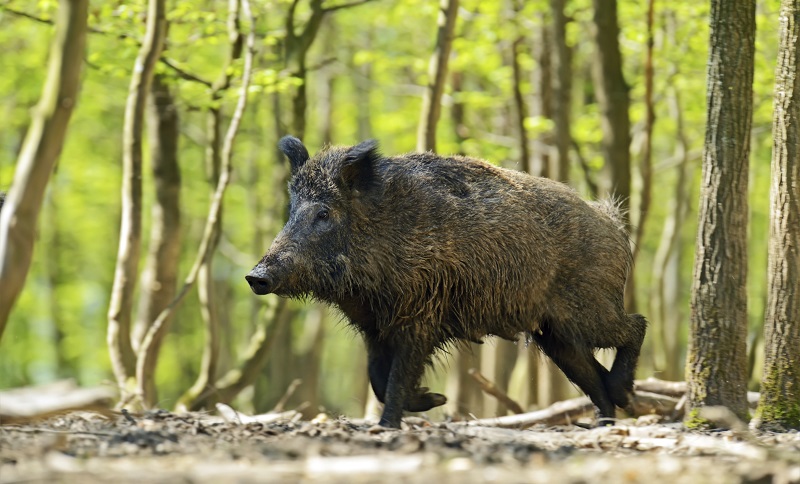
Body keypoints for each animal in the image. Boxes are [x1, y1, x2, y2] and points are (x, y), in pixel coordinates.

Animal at [247, 136, 647, 428]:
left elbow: (396, 377)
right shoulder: (375, 326)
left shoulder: (421, 316)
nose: (255, 276)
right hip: (555, 334)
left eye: (324, 212)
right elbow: (377, 377)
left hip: (588, 309)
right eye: (291, 211)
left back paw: (622, 398)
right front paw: (432, 401)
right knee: (590, 373)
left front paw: (390, 425)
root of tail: (612, 221)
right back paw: (604, 420)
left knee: (635, 326)